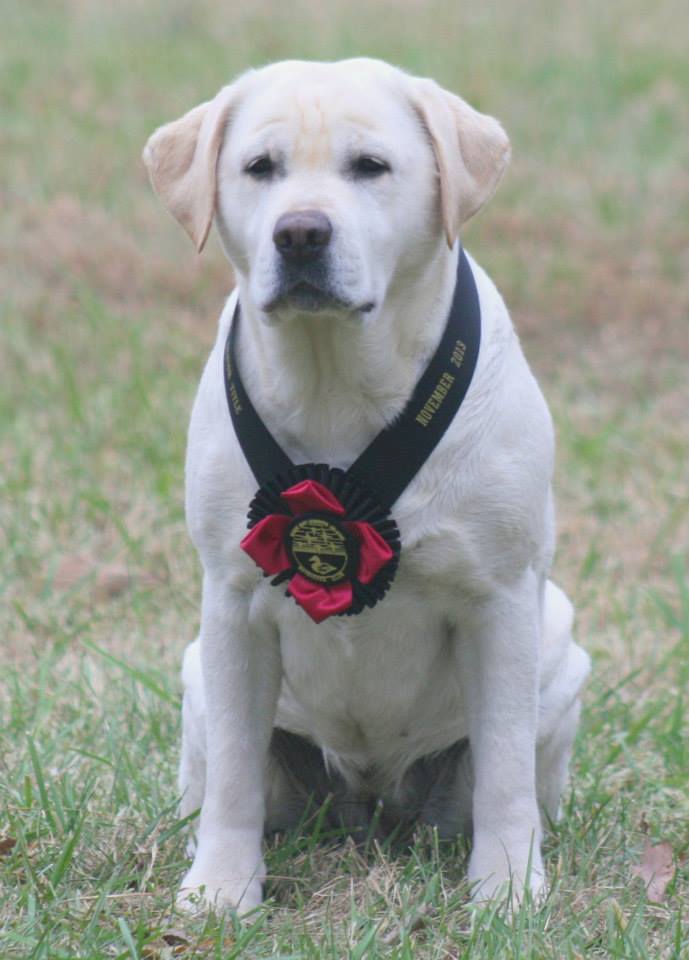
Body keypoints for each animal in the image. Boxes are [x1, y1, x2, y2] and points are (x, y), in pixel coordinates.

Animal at [142, 56, 588, 912]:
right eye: (260, 167)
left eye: (370, 166)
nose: (300, 233)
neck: (335, 385)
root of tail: (371, 799)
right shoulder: (234, 604)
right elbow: (236, 777)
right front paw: (220, 889)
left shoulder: (499, 600)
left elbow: (505, 770)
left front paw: (506, 891)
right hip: (198, 676)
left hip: (557, 648)